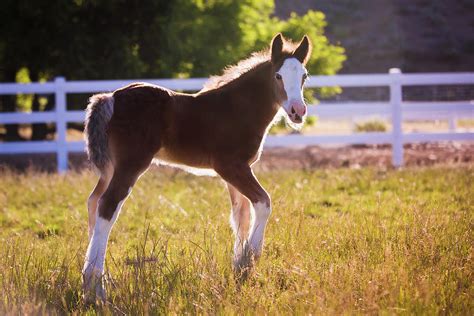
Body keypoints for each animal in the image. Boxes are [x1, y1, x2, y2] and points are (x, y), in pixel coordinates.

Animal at [82, 32, 312, 302]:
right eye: (278, 76)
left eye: (304, 76)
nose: (297, 111)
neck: (238, 110)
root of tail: (111, 98)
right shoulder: (230, 166)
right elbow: (264, 203)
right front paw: (251, 258)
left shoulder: (236, 172)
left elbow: (241, 215)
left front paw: (239, 266)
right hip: (131, 164)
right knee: (108, 205)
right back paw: (96, 287)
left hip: (110, 168)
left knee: (94, 201)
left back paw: (96, 280)